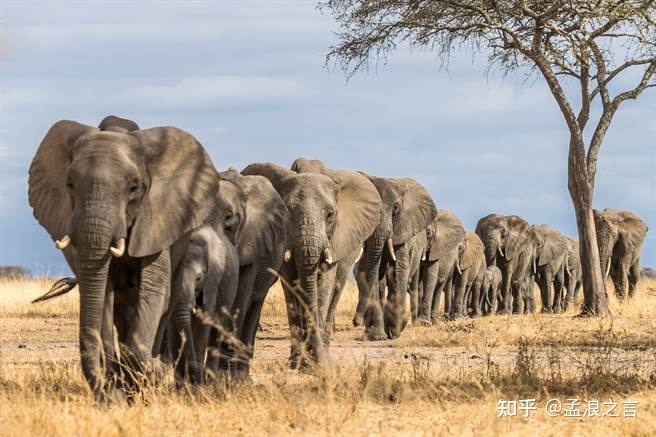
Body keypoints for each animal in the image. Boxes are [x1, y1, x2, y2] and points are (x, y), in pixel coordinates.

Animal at [28, 116, 219, 398]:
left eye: (133, 187)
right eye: (70, 185)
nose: (105, 395)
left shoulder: (157, 220)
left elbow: (154, 289)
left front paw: (152, 372)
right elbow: (102, 293)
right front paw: (118, 390)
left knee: (165, 305)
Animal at [168, 223, 240, 384]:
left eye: (198, 279)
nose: (193, 378)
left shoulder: (212, 281)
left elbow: (204, 321)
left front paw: (197, 385)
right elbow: (174, 326)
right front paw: (180, 384)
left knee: (216, 330)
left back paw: (211, 380)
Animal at [205, 167, 288, 378]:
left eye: (230, 219)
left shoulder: (251, 241)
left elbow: (239, 298)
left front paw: (226, 377)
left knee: (254, 306)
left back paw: (243, 376)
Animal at [243, 162, 382, 366]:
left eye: (330, 214)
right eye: (287, 212)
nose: (314, 361)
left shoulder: (335, 239)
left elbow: (324, 285)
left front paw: (317, 361)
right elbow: (291, 286)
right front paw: (298, 362)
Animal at [352, 175, 438, 338]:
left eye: (396, 208)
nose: (355, 322)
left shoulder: (403, 230)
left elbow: (398, 270)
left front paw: (395, 328)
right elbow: (369, 272)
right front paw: (377, 336)